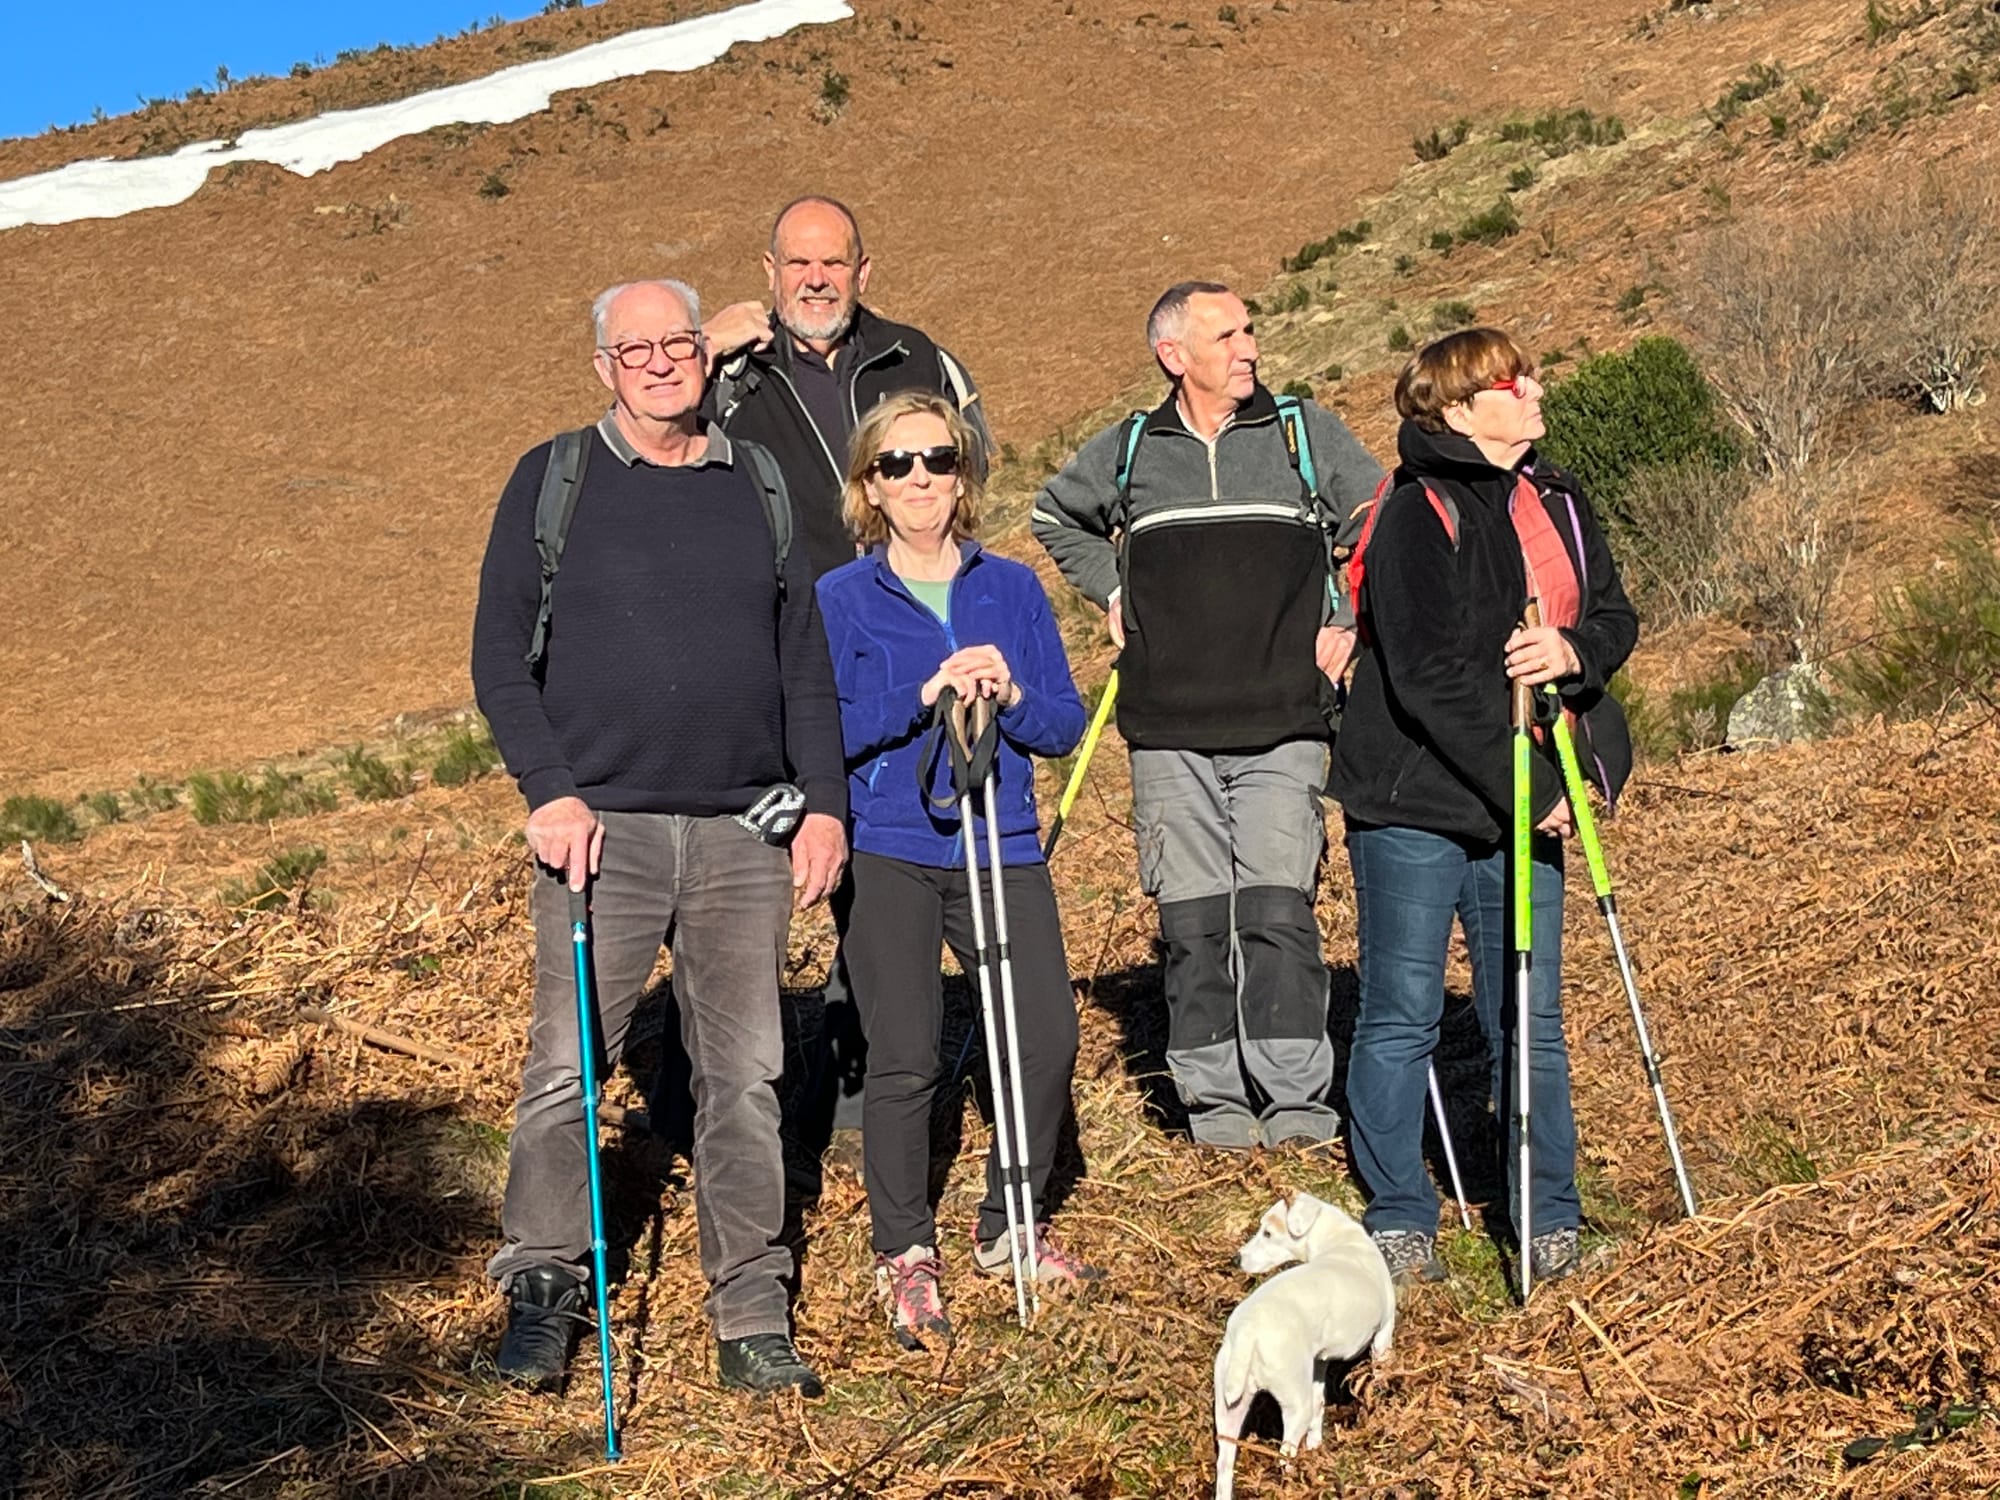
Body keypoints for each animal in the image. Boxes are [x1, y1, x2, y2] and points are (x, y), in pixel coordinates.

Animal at [1208, 1192, 1400, 1496]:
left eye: (1267, 1232)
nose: (1236, 1258)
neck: (1340, 1240)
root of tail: (1250, 1328)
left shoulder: (1319, 1362)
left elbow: (1320, 1402)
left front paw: (1315, 1443)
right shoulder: (1383, 1334)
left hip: (1229, 1409)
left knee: (1224, 1469)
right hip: (1294, 1403)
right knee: (1285, 1454)